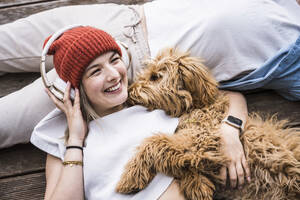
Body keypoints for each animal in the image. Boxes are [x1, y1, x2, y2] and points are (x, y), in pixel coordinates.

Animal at [115, 47, 300, 199]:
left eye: (154, 77)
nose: (129, 91)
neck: (196, 106)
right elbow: (180, 161)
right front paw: (197, 186)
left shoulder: (201, 139)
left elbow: (154, 142)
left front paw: (130, 177)